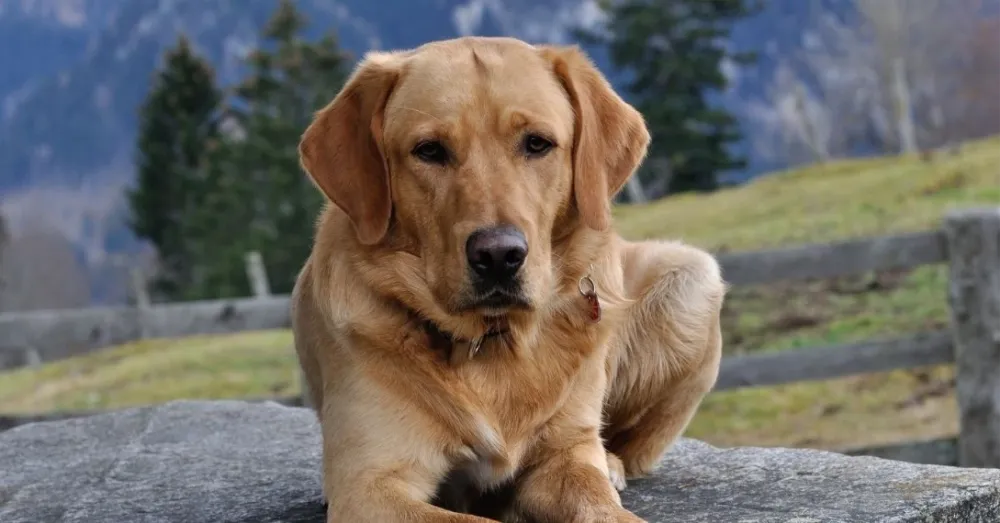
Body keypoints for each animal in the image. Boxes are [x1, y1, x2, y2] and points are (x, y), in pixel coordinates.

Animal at [292, 34, 728, 520]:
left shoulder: (563, 457)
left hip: (693, 277)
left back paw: (612, 461)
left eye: (537, 143)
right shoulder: (368, 487)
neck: (492, 342)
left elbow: (598, 500)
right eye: (429, 150)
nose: (499, 255)